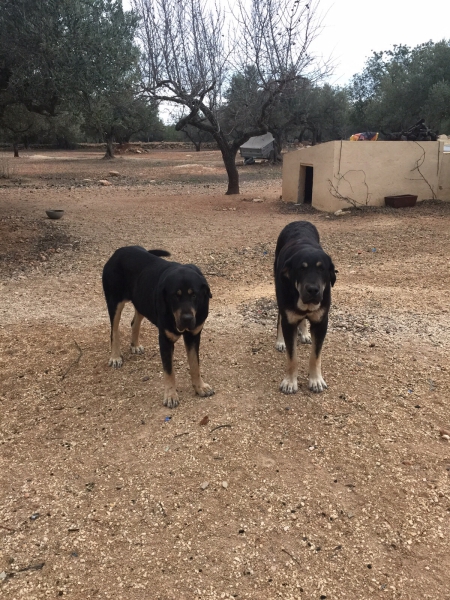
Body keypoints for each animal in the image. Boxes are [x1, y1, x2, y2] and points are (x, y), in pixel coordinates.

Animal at [102, 245, 214, 408]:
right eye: (175, 296)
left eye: (194, 295)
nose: (187, 319)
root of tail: (119, 251)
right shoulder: (165, 340)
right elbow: (169, 371)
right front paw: (171, 396)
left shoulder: (193, 336)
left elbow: (195, 364)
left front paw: (200, 387)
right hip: (114, 301)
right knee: (114, 331)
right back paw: (115, 357)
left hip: (141, 301)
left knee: (134, 322)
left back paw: (135, 345)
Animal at [272, 220, 336, 394]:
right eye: (301, 268)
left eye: (322, 269)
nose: (313, 290)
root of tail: (299, 221)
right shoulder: (288, 321)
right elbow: (292, 357)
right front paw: (290, 382)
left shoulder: (321, 323)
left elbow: (315, 356)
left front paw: (316, 380)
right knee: (280, 318)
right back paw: (280, 341)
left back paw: (305, 333)